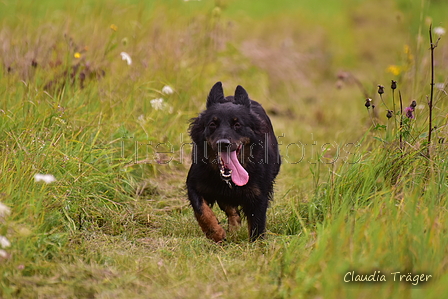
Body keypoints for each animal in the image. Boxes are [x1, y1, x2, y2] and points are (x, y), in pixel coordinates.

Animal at [186, 82, 280, 244]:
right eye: (212, 124)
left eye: (237, 124)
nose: (223, 143)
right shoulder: (193, 184)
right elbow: (201, 210)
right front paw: (216, 233)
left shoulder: (259, 194)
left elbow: (257, 224)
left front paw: (256, 245)